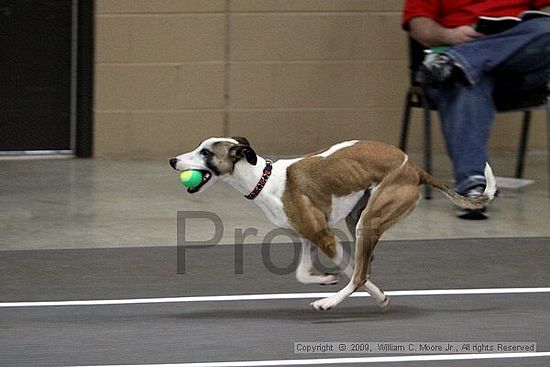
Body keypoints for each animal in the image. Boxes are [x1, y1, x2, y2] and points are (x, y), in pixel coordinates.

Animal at [170, 139, 498, 312]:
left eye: (206, 152)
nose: (173, 161)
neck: (264, 180)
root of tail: (416, 168)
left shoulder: (325, 237)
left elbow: (355, 273)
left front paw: (371, 294)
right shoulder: (308, 237)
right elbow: (302, 273)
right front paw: (325, 278)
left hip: (367, 223)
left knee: (361, 273)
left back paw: (328, 303)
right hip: (359, 217)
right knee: (363, 265)